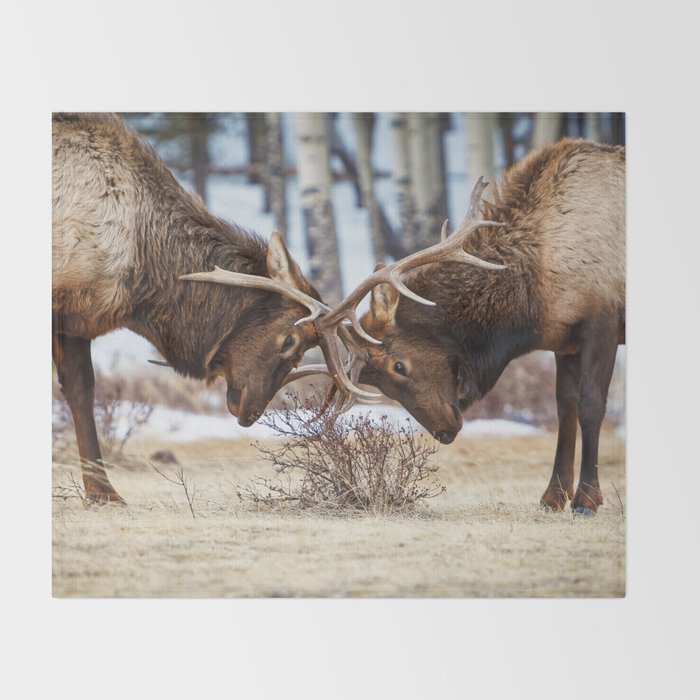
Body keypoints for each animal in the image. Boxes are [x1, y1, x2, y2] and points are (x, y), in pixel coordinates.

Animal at [315, 138, 625, 514]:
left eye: (399, 365)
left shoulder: (602, 322)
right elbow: (564, 408)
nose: (445, 432)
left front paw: (587, 499)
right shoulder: (565, 339)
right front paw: (553, 496)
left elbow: (591, 406)